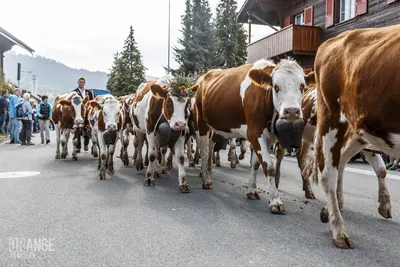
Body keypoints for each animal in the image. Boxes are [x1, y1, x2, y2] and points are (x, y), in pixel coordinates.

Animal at [195, 58, 306, 214]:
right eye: (276, 87)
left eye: (302, 86)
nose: (291, 111)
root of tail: (205, 75)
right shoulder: (255, 133)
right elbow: (269, 167)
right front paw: (275, 201)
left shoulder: (267, 137)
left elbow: (256, 164)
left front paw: (252, 190)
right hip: (202, 124)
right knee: (204, 150)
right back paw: (206, 180)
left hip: (217, 127)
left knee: (211, 147)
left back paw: (209, 172)